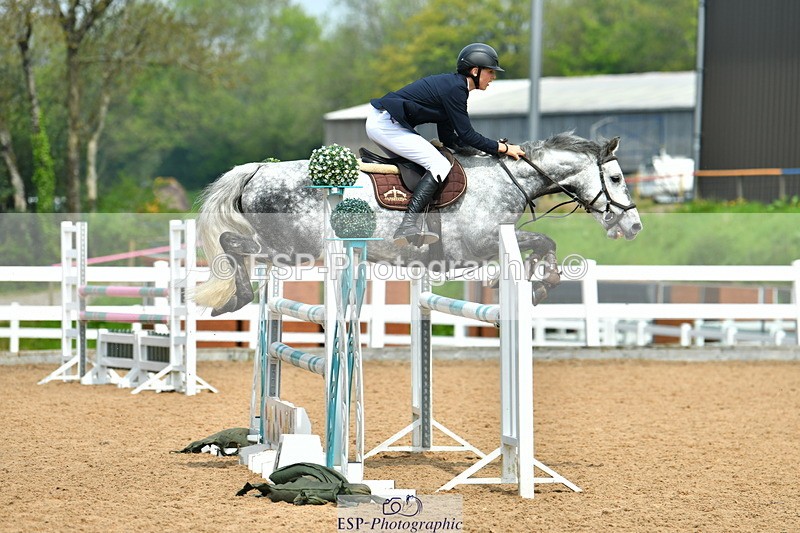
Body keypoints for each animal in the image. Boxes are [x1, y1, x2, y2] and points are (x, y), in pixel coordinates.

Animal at [194, 132, 642, 315]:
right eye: (617, 177)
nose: (635, 226)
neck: (505, 179)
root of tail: (257, 170)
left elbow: (542, 246)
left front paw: (531, 282)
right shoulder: (476, 246)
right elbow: (544, 241)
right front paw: (538, 285)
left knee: (238, 247)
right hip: (294, 248)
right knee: (234, 244)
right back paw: (236, 297)